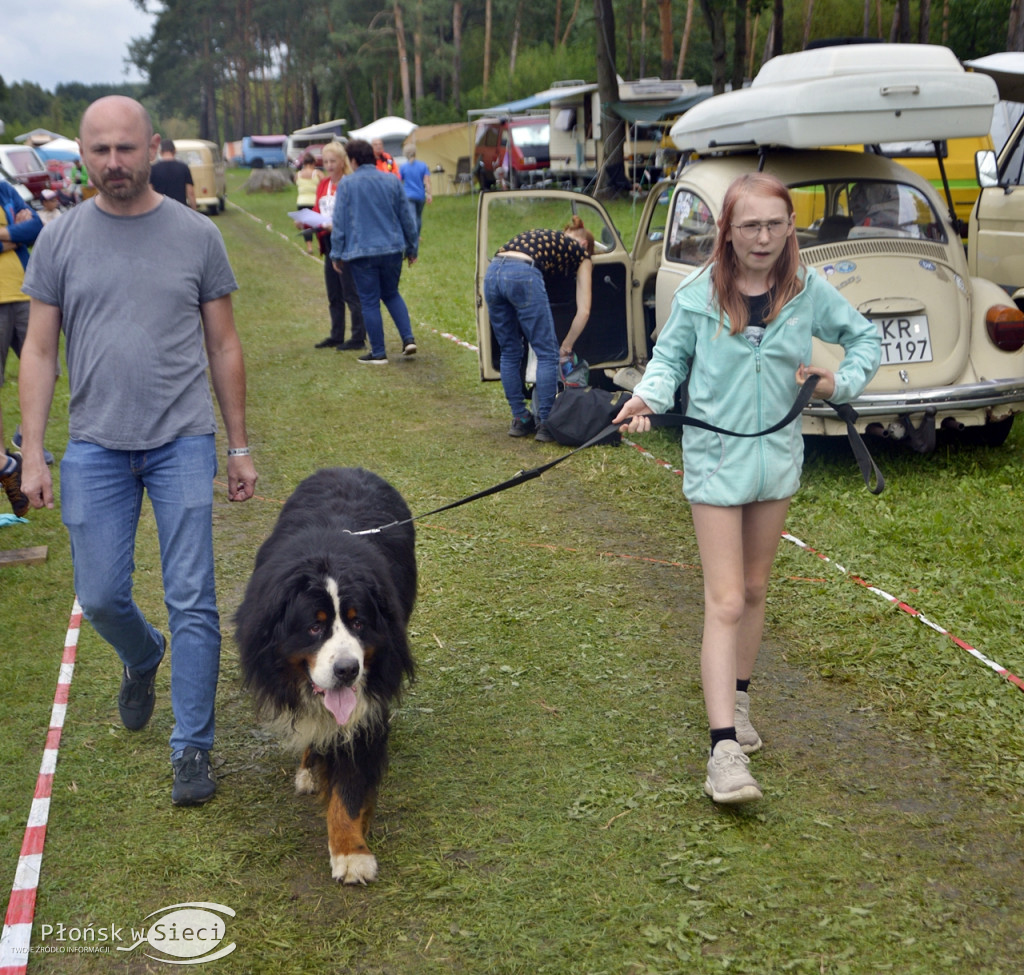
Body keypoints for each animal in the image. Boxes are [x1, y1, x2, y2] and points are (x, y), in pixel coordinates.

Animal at [235, 469, 415, 888]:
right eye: (315, 628)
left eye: (359, 623)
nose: (347, 670)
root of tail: (351, 468)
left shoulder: (368, 706)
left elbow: (349, 788)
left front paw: (351, 851)